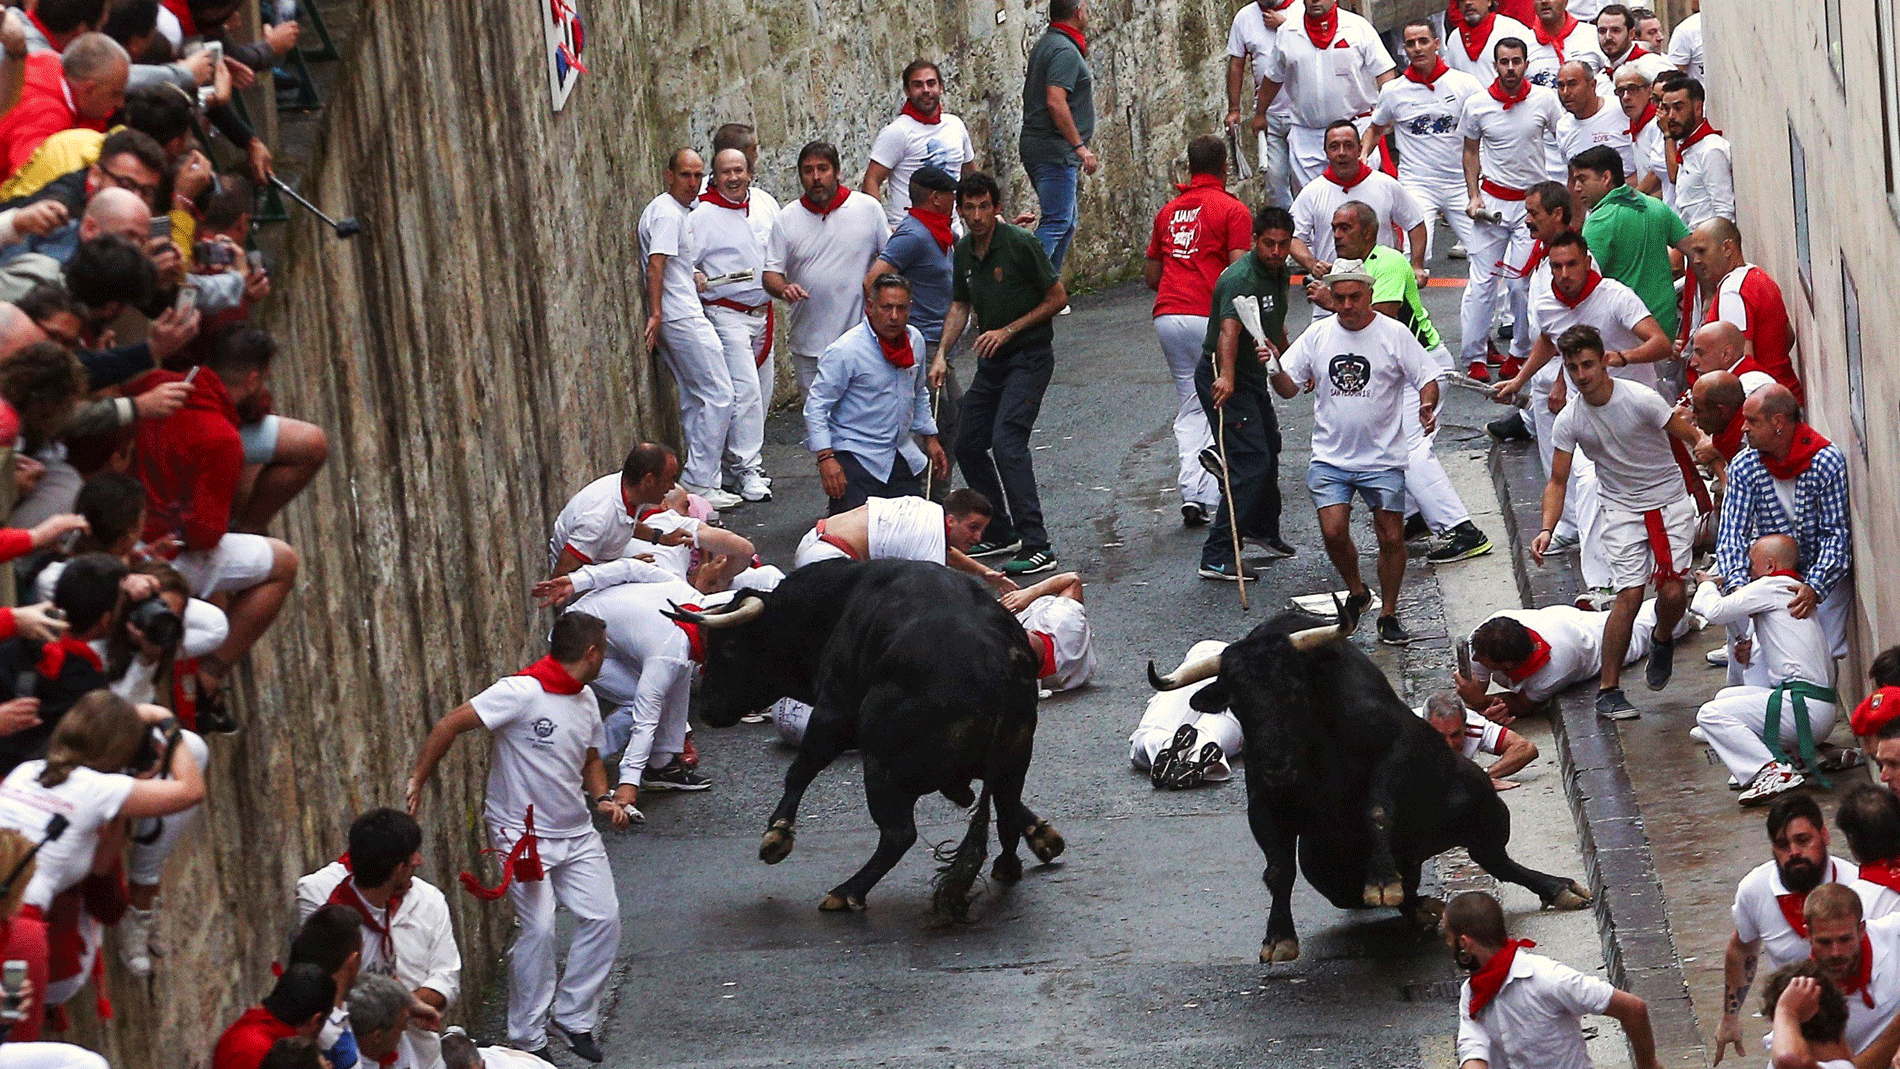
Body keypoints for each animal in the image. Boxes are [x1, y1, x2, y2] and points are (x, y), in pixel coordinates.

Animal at [661, 565, 1064, 915]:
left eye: (728, 648)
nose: (708, 710)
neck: (837, 605)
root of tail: (998, 670)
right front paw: (1044, 836)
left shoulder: (833, 714)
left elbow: (802, 769)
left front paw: (777, 835)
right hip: (1012, 758)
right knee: (1005, 807)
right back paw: (1008, 865)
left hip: (883, 768)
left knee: (899, 834)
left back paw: (847, 891)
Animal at [1147, 607, 1596, 964]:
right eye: (1236, 703)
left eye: (1292, 690)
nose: (1276, 766)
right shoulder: (1262, 800)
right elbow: (1277, 868)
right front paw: (1278, 938)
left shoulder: (1395, 748)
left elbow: (1377, 808)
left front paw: (1381, 882)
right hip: (1324, 866)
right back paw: (1420, 905)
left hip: (1484, 806)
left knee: (1493, 858)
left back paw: (1558, 888)